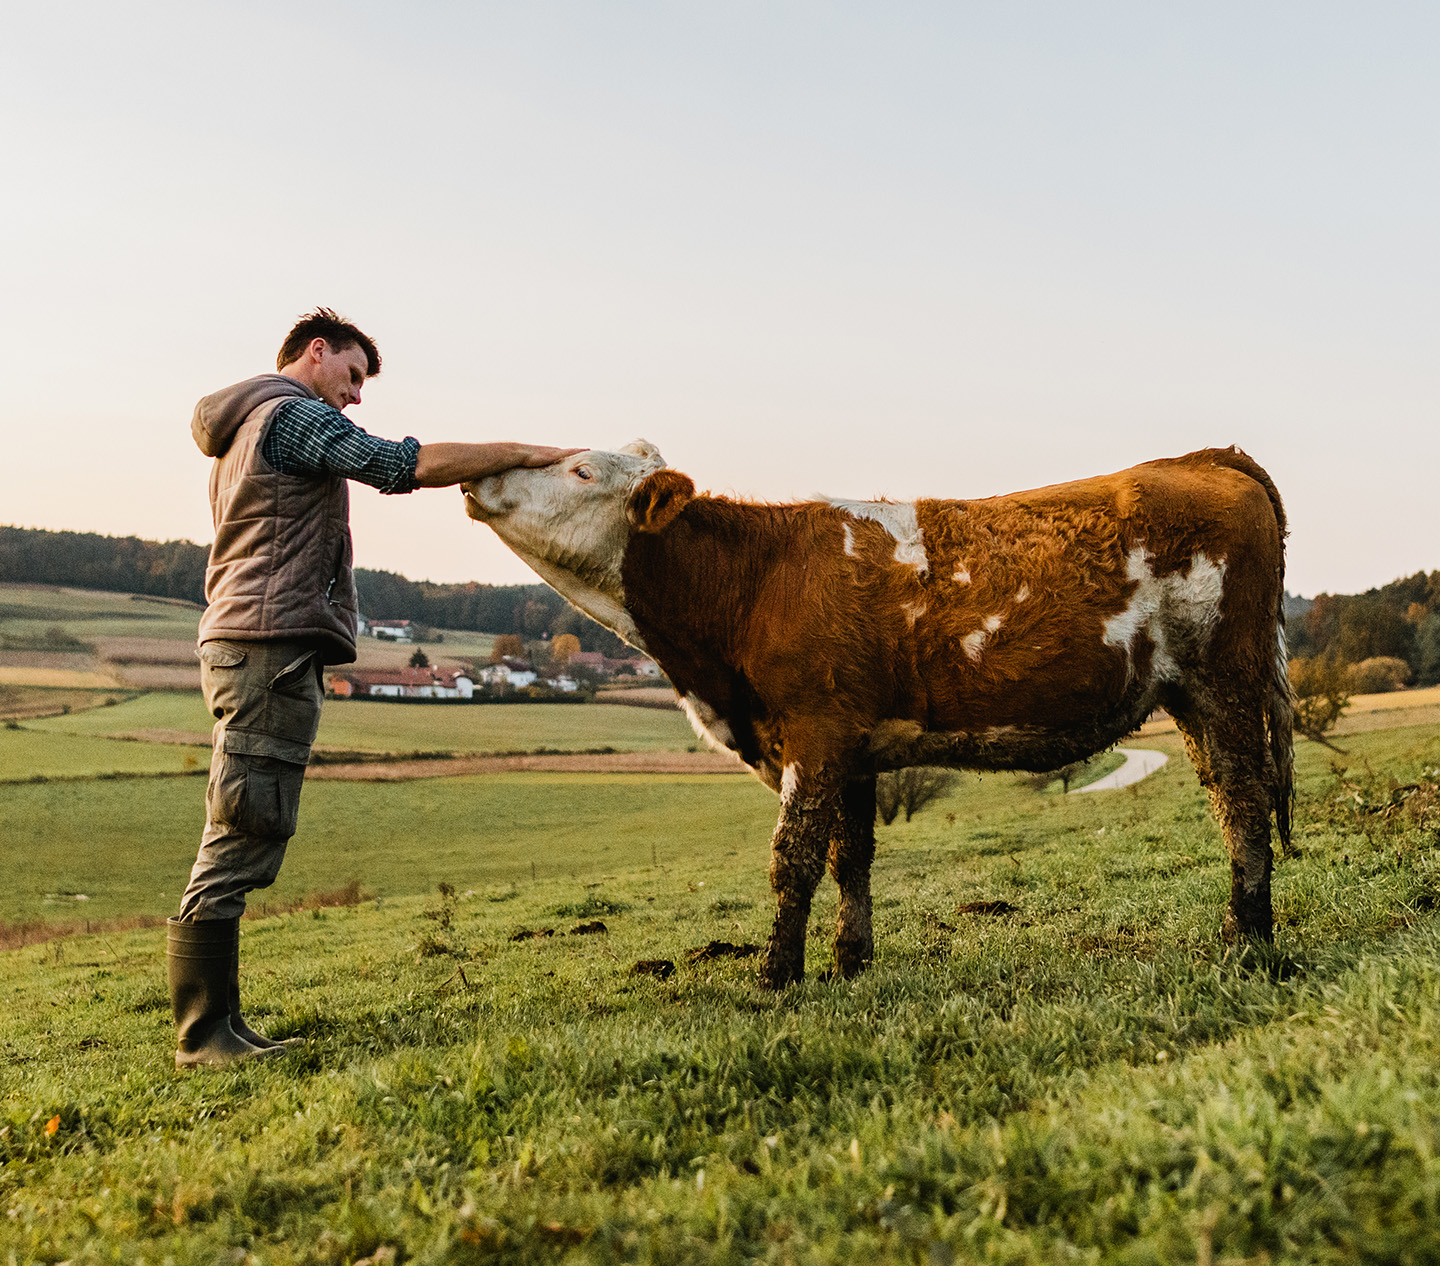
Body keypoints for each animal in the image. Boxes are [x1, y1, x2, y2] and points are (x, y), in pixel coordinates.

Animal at [463, 443, 1293, 989]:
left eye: (579, 470)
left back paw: (1247, 939)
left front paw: (777, 976)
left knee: (1246, 802)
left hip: (1224, 679)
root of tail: (1202, 457)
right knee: (1227, 799)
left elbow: (792, 857)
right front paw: (849, 962)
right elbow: (849, 858)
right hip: (1190, 695)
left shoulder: (814, 730)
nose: (478, 476)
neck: (752, 580)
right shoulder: (853, 749)